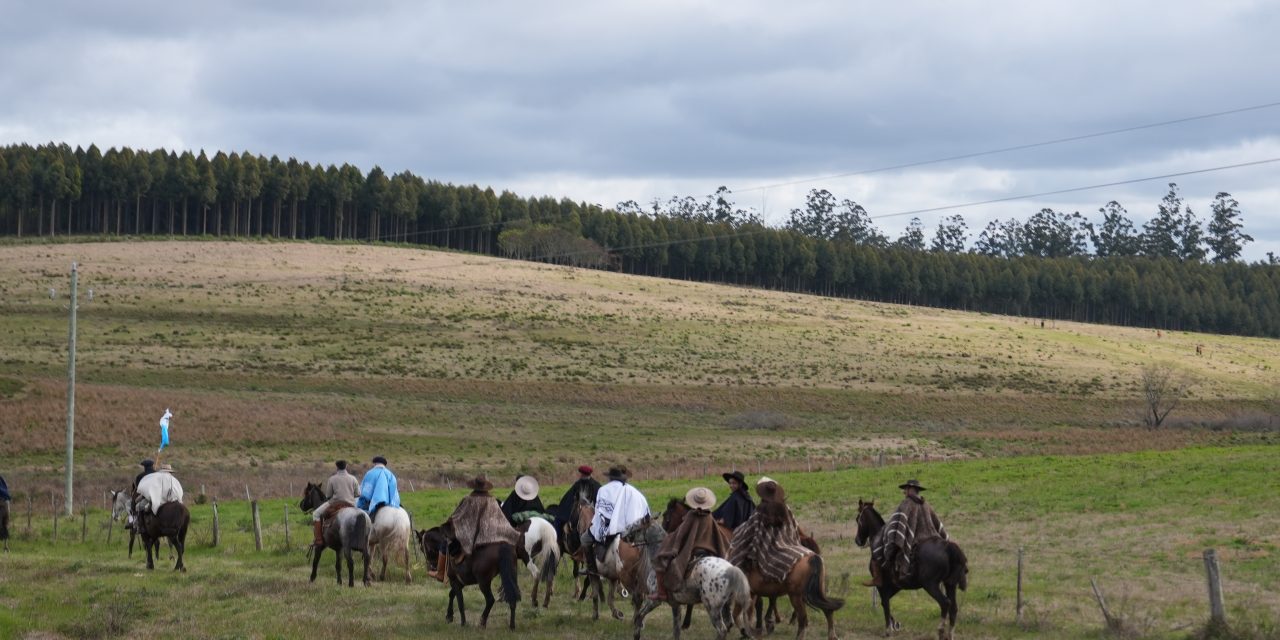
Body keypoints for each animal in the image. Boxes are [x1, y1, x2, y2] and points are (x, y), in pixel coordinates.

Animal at [855, 500, 968, 640]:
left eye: (858, 519)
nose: (857, 540)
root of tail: (948, 547)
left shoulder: (882, 585)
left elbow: (885, 603)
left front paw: (888, 630)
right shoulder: (895, 586)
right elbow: (885, 602)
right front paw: (894, 624)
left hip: (930, 585)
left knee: (945, 603)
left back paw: (941, 631)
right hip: (950, 584)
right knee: (953, 607)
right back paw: (950, 634)